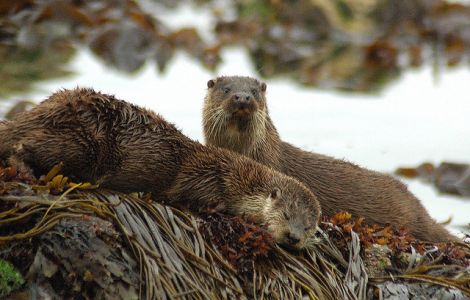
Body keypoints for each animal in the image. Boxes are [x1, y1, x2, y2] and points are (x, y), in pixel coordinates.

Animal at [0, 88, 320, 250]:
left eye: (308, 227)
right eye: (286, 214)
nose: (293, 237)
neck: (235, 178)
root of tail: (46, 107)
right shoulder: (205, 178)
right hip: (82, 143)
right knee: (25, 145)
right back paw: (25, 169)